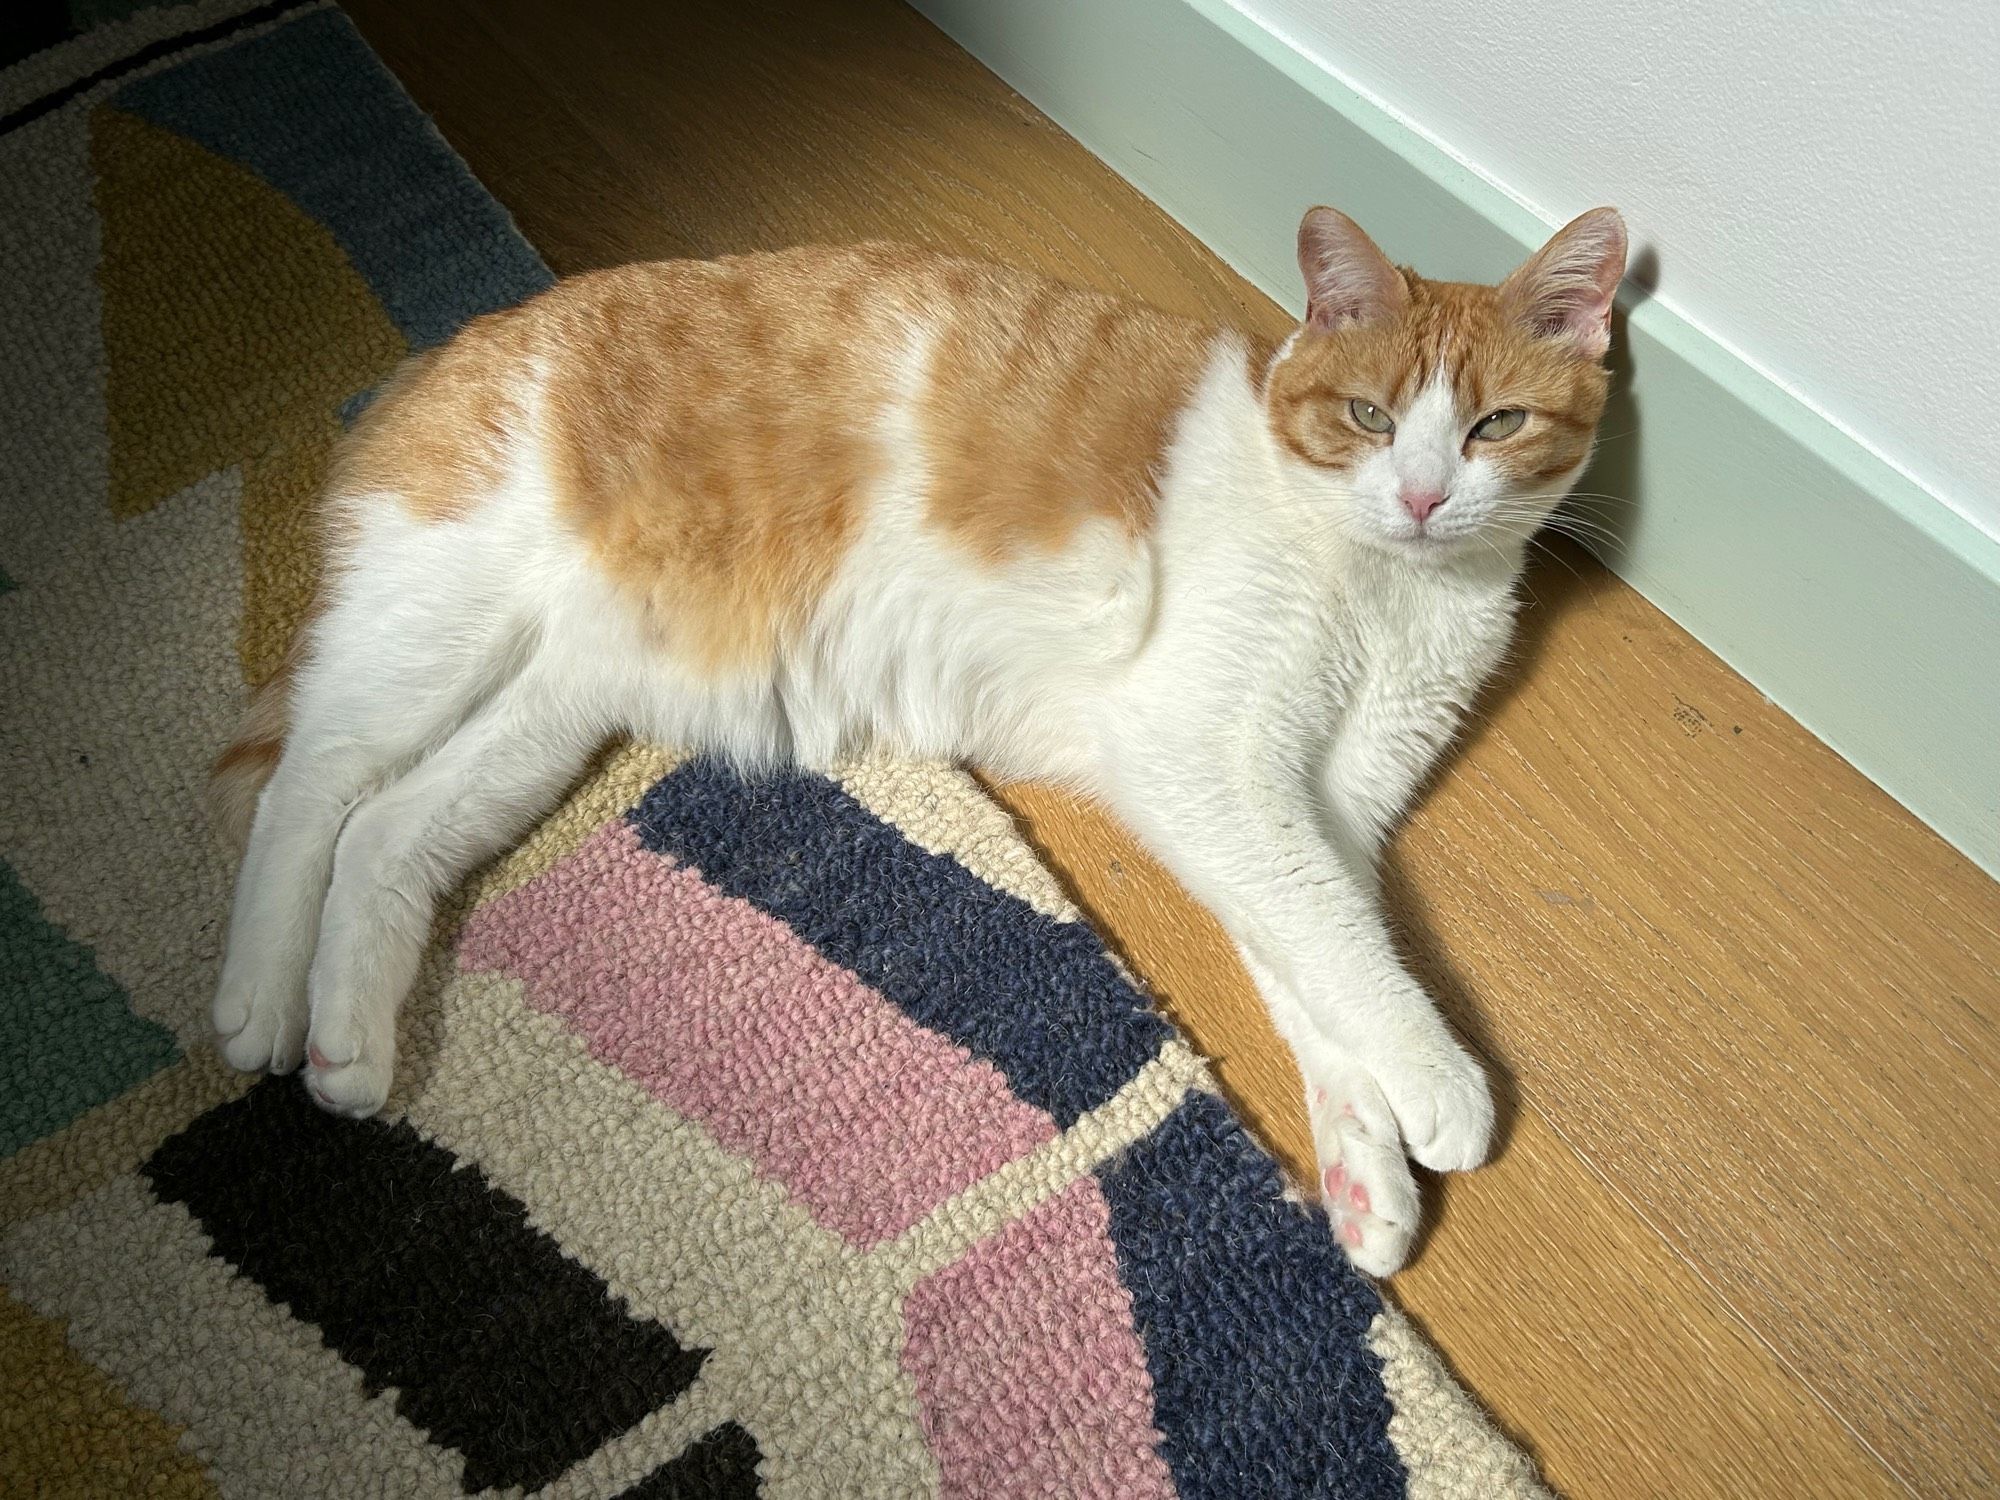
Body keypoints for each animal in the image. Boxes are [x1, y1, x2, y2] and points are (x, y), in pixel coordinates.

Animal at [215, 203, 1624, 1280]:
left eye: (1494, 427)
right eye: (1371, 417)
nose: (1423, 498)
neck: (1381, 584)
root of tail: (462, 340)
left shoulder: (1313, 805)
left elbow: (1318, 961)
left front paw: (1364, 1171)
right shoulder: (1207, 765)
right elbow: (1342, 945)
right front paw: (1438, 1086)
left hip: (544, 710)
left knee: (386, 832)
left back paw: (345, 1045)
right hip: (432, 625)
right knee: (311, 786)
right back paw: (258, 1000)